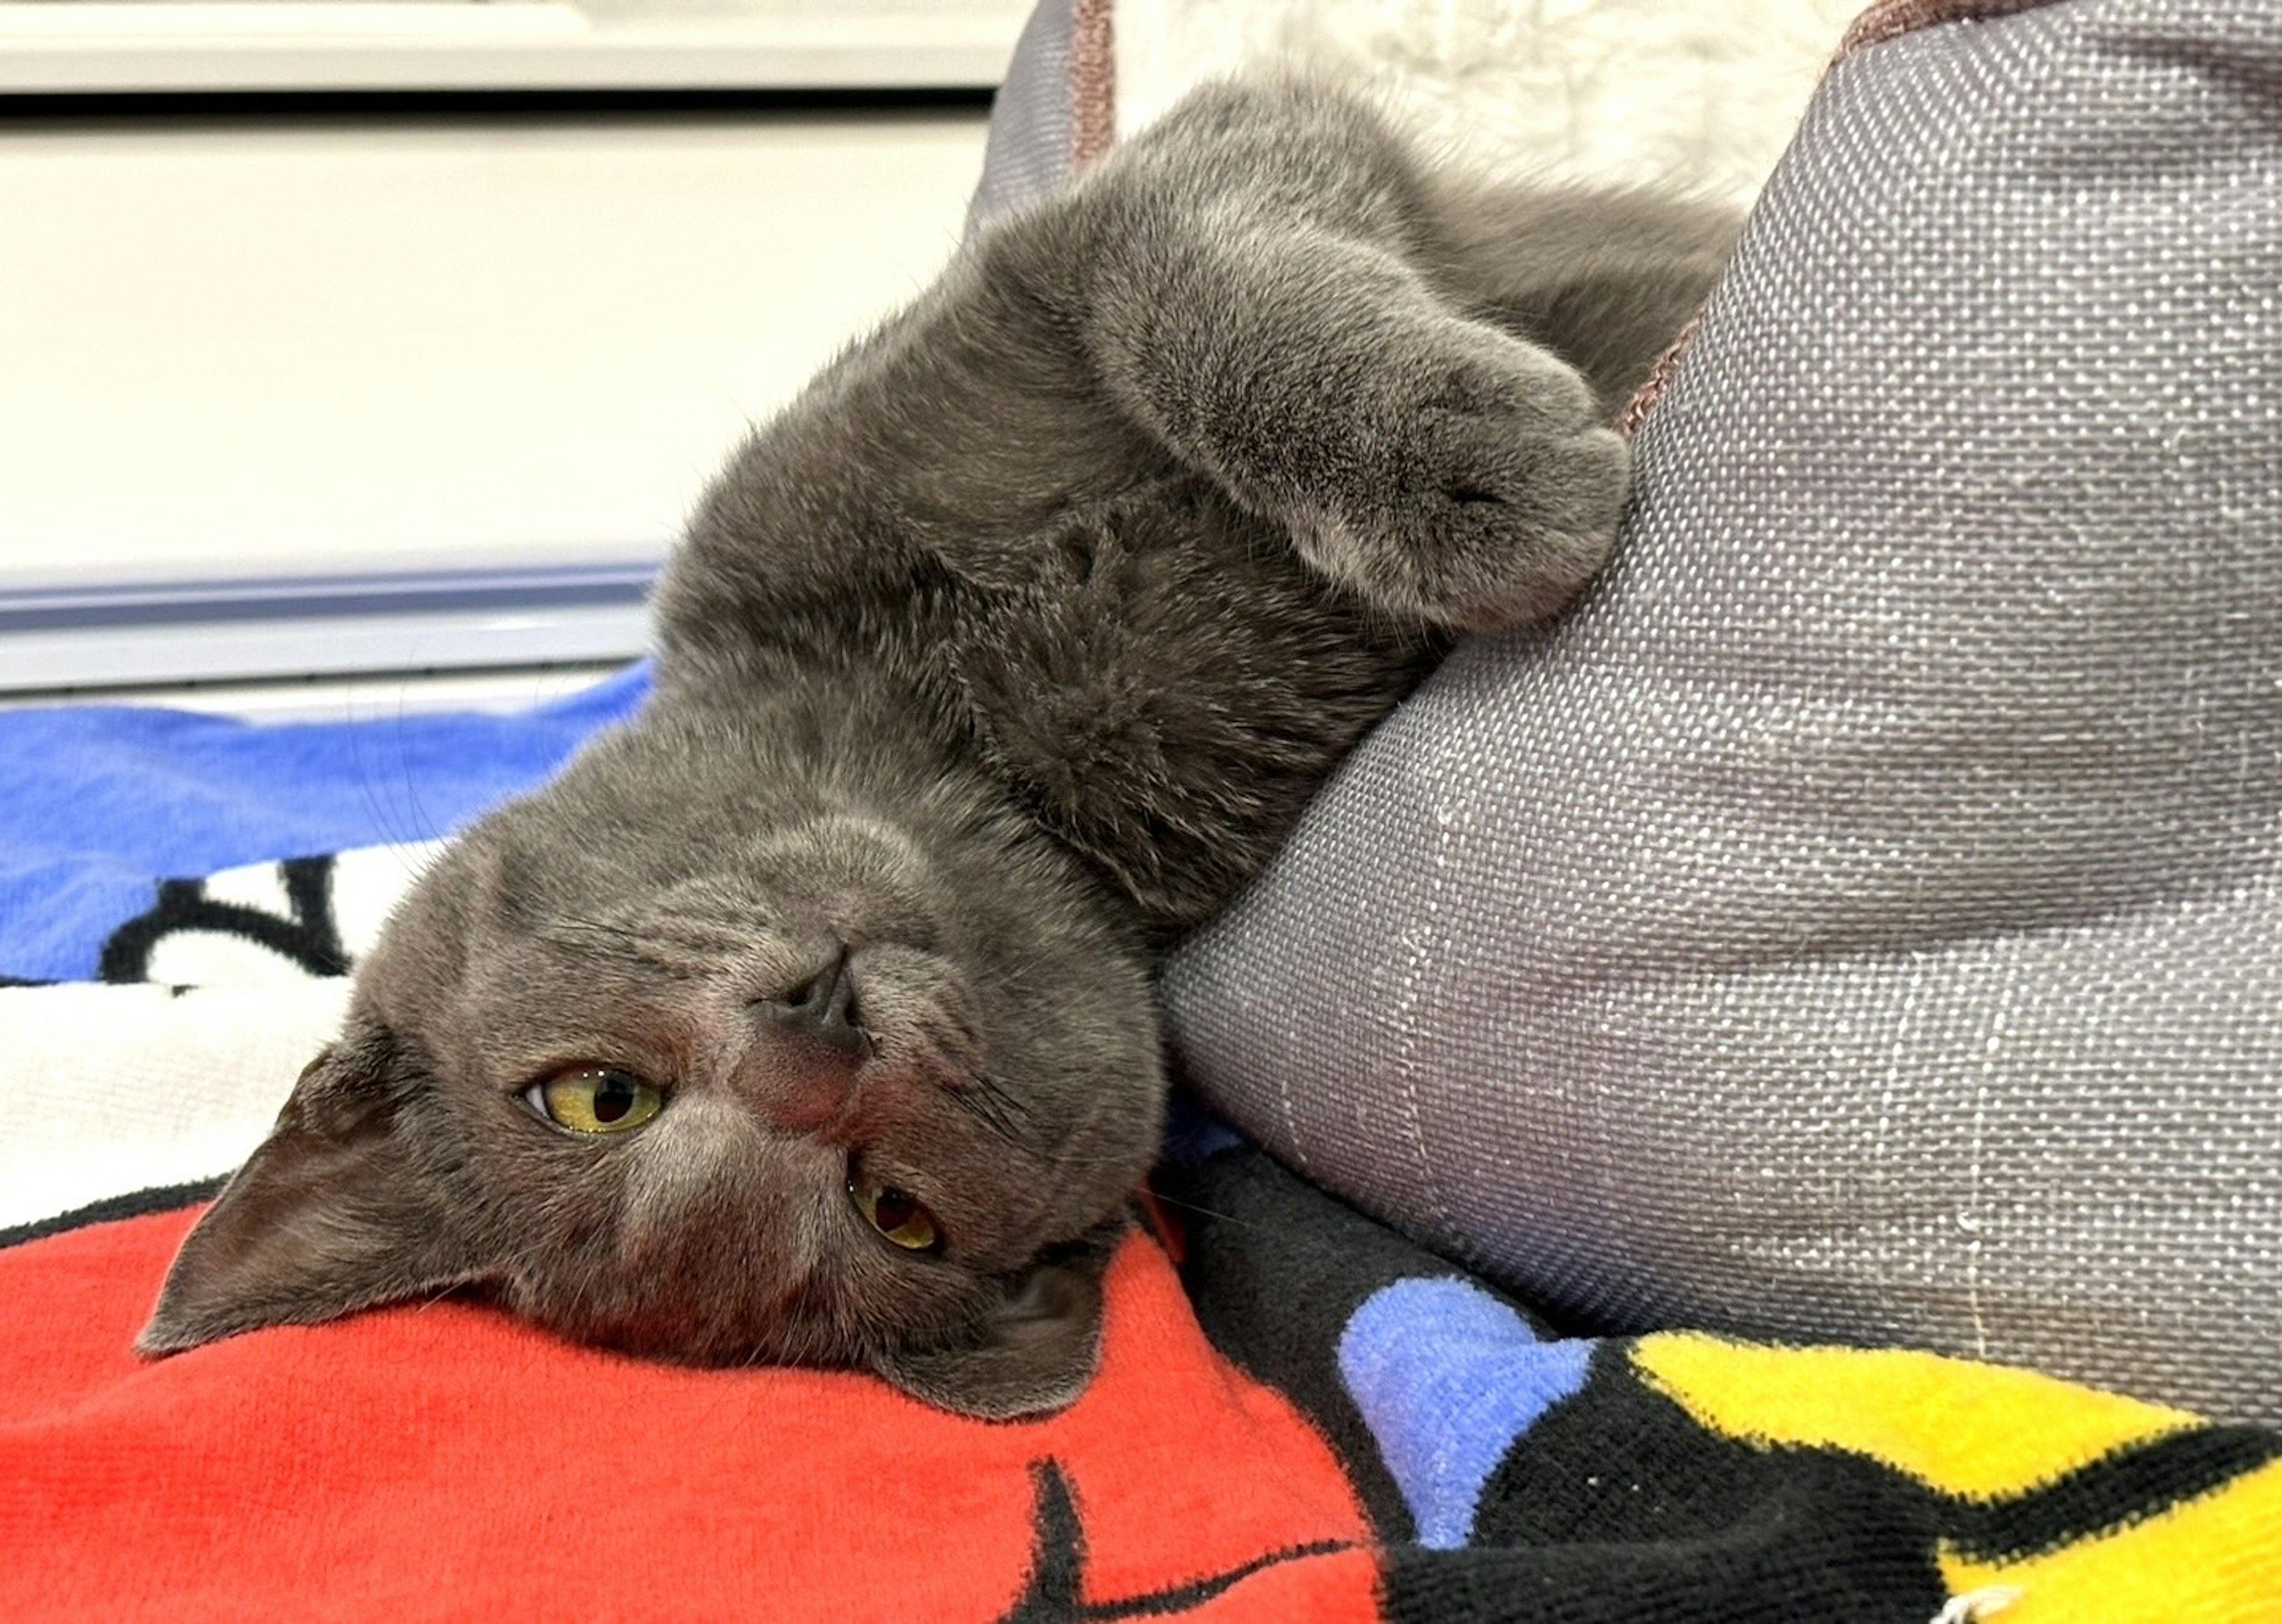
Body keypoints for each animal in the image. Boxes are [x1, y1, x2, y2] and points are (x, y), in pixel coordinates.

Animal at [138, 83, 1725, 1414]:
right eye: (894, 1212)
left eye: (589, 1094)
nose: (813, 1038)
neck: (992, 744)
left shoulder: (1095, 243)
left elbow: (1182, 282)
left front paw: (1478, 488)